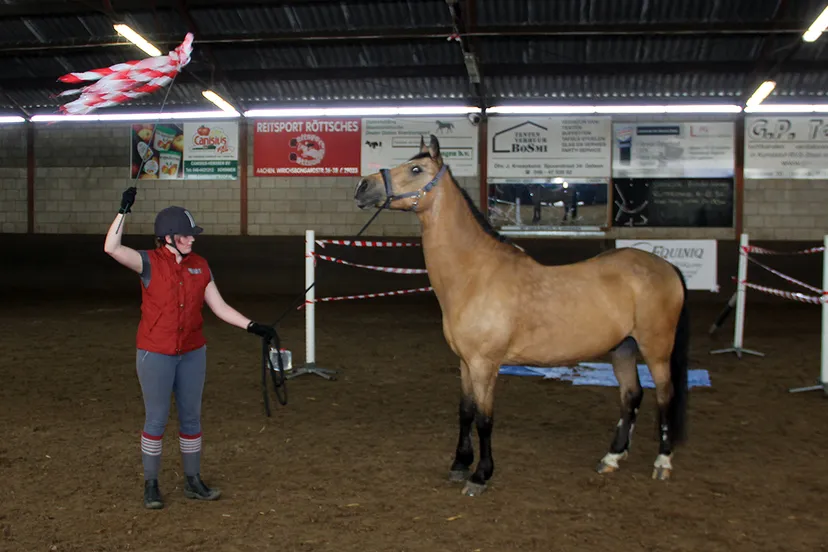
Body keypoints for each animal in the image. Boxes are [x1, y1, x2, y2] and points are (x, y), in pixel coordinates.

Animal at [353, 134, 690, 497]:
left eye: (416, 169)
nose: (363, 186)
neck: (475, 275)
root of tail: (667, 267)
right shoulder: (465, 362)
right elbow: (465, 412)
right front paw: (459, 464)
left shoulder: (485, 364)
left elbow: (484, 419)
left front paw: (480, 475)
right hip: (623, 348)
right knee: (631, 395)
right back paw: (612, 457)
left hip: (656, 350)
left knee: (665, 396)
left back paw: (663, 463)